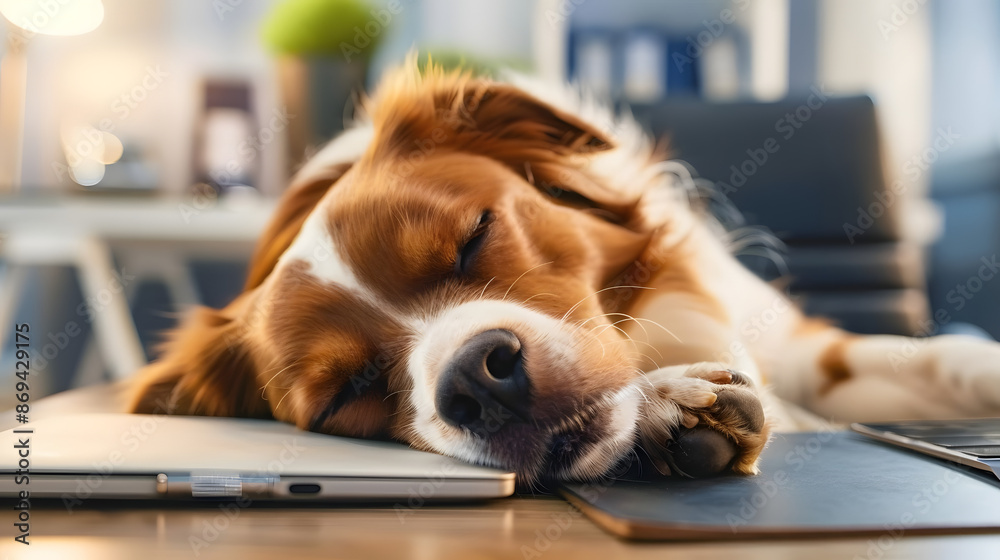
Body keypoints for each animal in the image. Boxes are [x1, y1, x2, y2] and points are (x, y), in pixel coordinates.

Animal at [129, 59, 1000, 484]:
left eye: (472, 237)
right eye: (347, 394)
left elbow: (948, 354)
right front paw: (666, 405)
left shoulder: (808, 351)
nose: (476, 381)